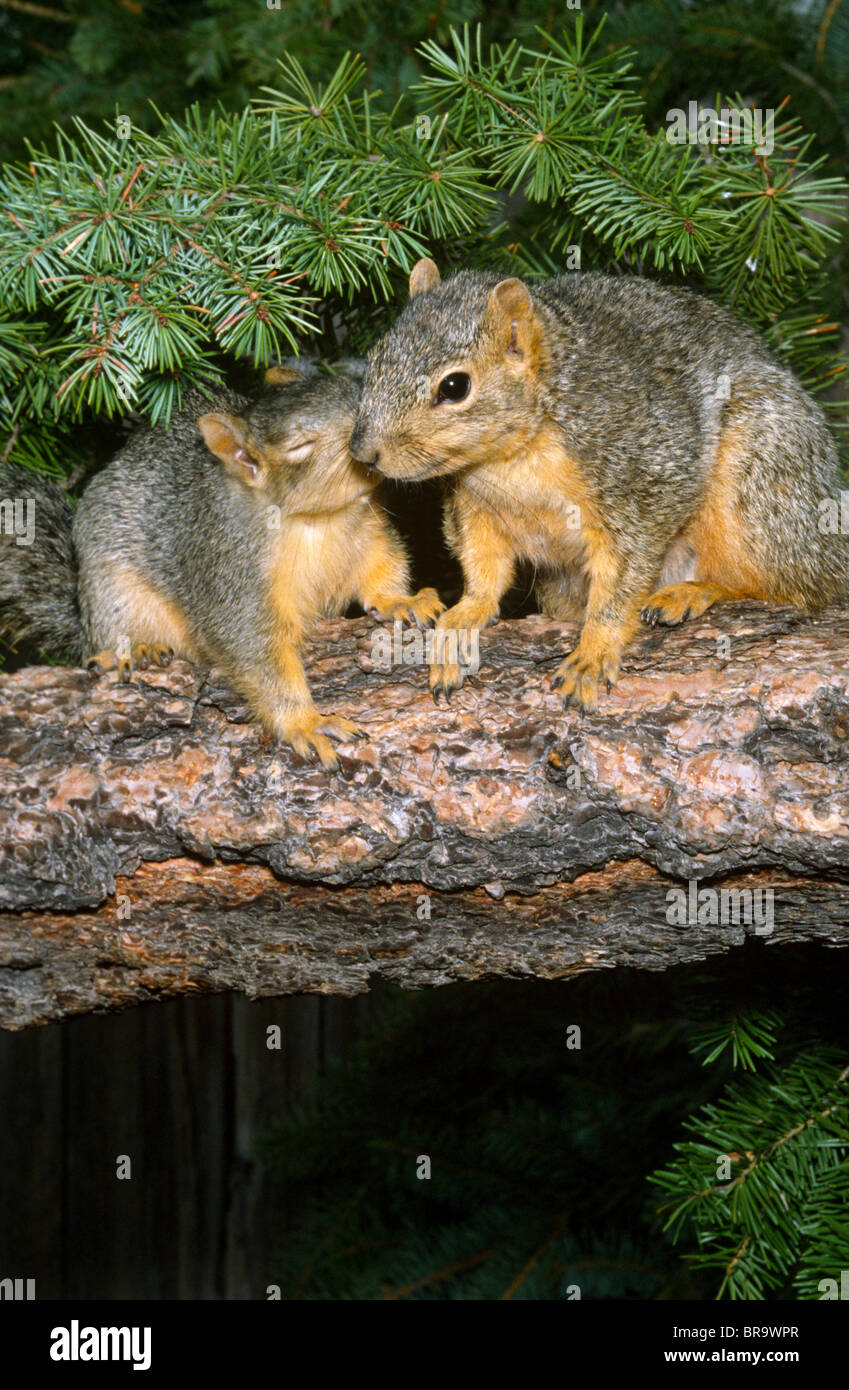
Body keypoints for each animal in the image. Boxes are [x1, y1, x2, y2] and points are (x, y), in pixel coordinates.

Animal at [0, 364, 441, 767]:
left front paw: (401, 601)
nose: (369, 438)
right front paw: (306, 723)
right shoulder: (230, 575)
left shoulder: (370, 534)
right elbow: (257, 656)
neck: (317, 522)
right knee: (105, 638)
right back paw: (138, 647)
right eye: (300, 446)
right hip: (110, 590)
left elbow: (384, 570)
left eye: (353, 389)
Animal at [348, 261, 849, 711]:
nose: (363, 452)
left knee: (798, 586)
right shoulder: (473, 508)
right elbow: (485, 571)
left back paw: (695, 592)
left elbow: (618, 586)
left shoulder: (637, 481)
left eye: (454, 386)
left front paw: (592, 654)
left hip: (760, 478)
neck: (509, 459)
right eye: (372, 361)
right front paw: (462, 620)